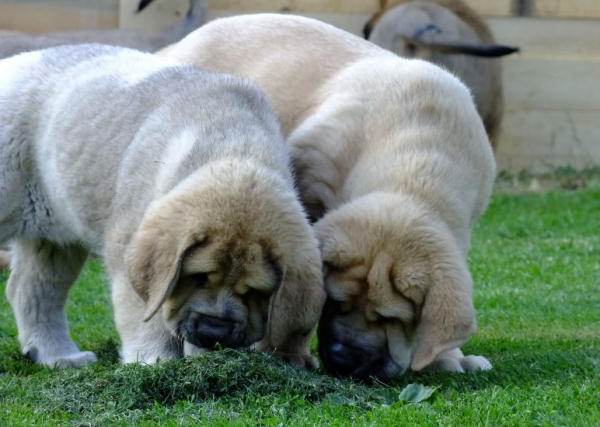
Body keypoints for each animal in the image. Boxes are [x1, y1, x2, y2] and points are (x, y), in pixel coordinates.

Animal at [0, 45, 326, 370]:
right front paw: (156, 363)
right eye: (198, 277)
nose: (214, 331)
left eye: (254, 292)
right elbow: (147, 317)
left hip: (55, 239)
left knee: (31, 290)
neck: (237, 151)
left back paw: (58, 356)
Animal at [158, 14, 496, 382]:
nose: (344, 359)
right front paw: (286, 352)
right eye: (335, 302)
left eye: (389, 318)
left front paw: (447, 357)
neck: (414, 169)